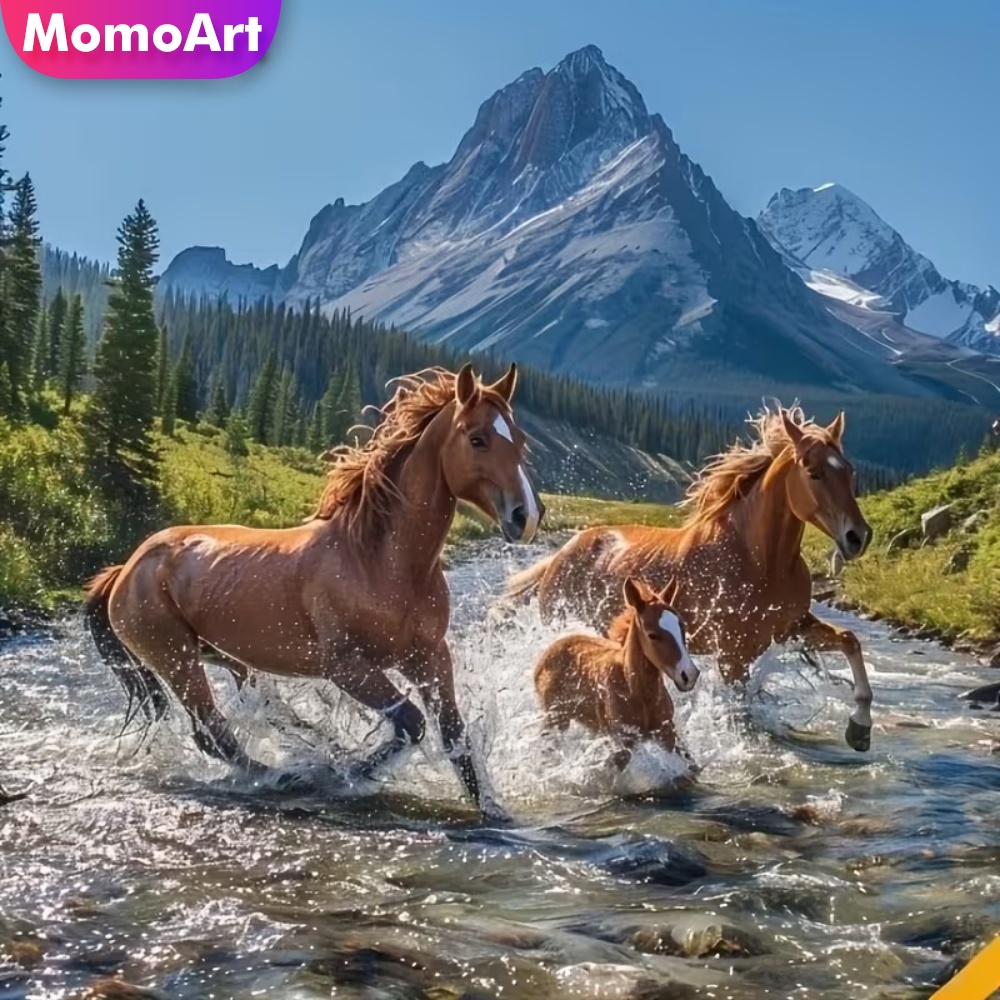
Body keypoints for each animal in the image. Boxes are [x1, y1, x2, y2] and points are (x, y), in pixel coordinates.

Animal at [84, 363, 544, 822]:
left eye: (519, 439)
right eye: (477, 438)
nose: (526, 517)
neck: (379, 562)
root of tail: (125, 569)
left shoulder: (430, 657)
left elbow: (455, 739)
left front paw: (495, 812)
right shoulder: (346, 666)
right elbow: (410, 724)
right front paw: (346, 774)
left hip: (225, 655)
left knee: (264, 708)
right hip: (175, 659)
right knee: (213, 733)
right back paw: (286, 776)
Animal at [533, 577, 698, 764]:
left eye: (682, 628)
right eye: (652, 635)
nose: (689, 675)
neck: (637, 691)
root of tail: (549, 651)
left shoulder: (666, 732)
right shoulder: (623, 738)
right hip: (555, 719)